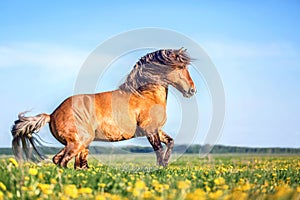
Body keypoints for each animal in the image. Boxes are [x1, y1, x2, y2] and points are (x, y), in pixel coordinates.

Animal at [10, 48, 196, 169]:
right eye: (180, 67)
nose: (192, 90)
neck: (145, 95)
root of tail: (52, 114)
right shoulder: (149, 129)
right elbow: (158, 149)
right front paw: (160, 168)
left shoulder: (157, 129)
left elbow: (170, 143)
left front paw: (165, 165)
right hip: (78, 142)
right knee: (63, 161)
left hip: (81, 144)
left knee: (68, 162)